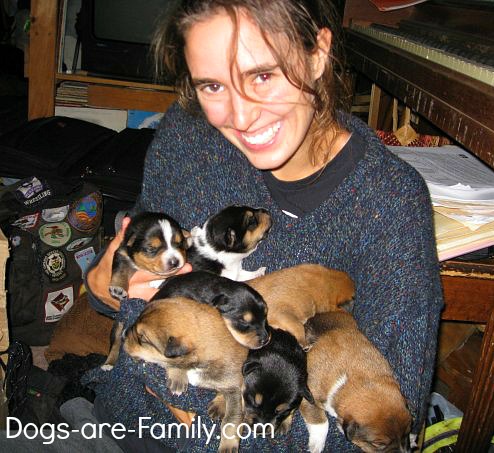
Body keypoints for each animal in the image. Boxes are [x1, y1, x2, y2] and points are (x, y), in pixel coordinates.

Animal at [124, 296, 248, 453]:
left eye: (142, 339)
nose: (123, 335)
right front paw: (177, 377)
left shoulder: (235, 389)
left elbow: (231, 418)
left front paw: (228, 444)